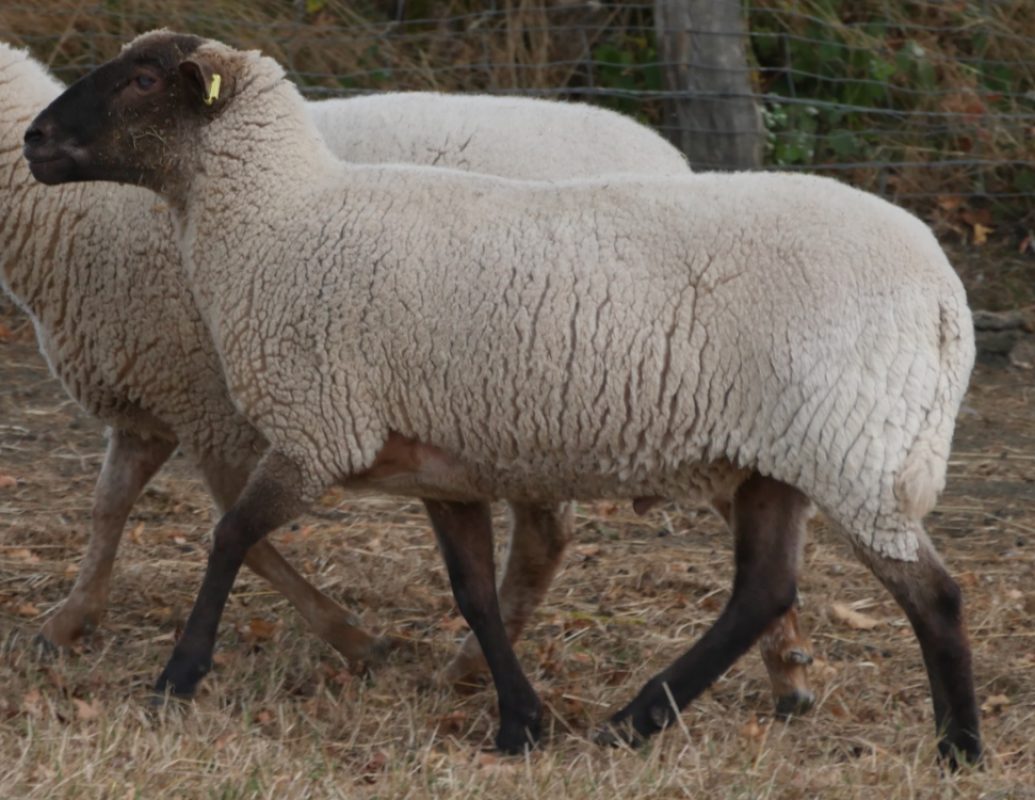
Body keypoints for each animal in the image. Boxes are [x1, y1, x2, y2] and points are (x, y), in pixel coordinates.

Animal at [24, 31, 980, 763]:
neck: (275, 218)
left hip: (854, 449)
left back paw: (956, 748)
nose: (34, 140)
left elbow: (228, 538)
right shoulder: (437, 459)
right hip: (778, 461)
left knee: (928, 596)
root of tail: (946, 299)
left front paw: (177, 677)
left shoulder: (321, 425)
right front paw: (518, 720)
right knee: (763, 591)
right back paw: (633, 723)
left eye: (143, 79)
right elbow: (475, 594)